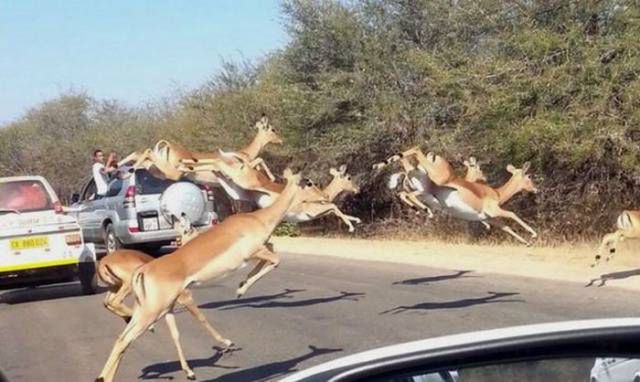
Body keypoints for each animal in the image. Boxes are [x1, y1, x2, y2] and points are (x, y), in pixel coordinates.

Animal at [95, 170, 312, 382]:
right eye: (308, 183)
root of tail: (142, 271)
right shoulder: (252, 253)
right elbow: (275, 260)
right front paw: (240, 293)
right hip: (151, 311)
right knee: (124, 338)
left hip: (150, 309)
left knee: (121, 336)